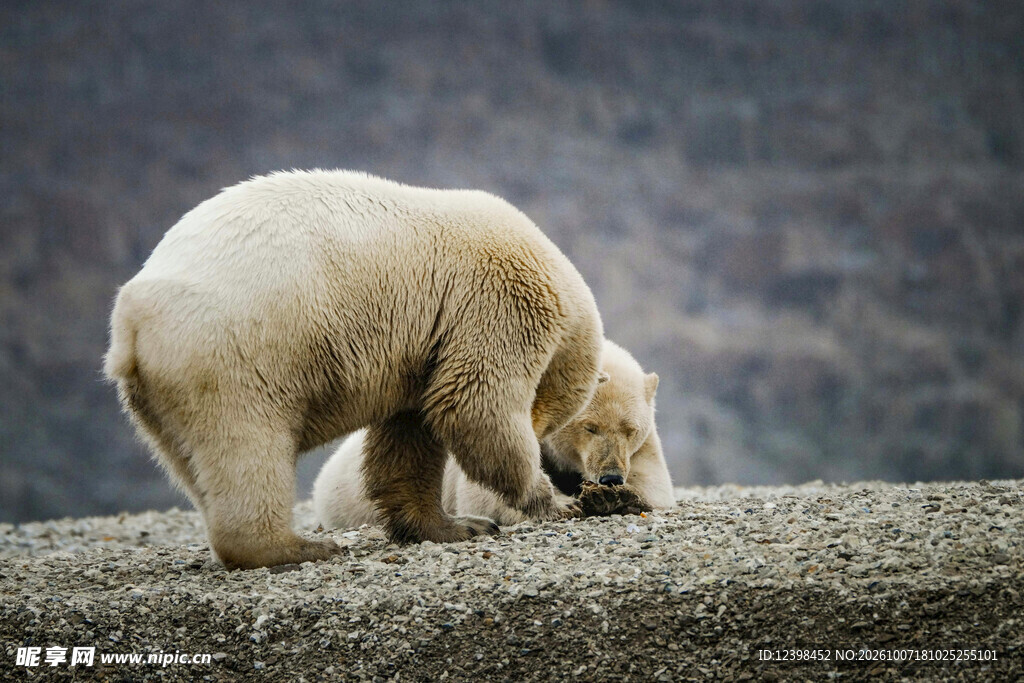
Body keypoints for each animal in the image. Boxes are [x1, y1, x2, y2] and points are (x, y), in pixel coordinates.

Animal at [104, 170, 605, 569]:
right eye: (549, 419)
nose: (539, 441)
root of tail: (132, 319)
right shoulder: (492, 301)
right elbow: (473, 405)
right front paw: (551, 501)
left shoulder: (424, 348)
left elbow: (411, 434)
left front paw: (456, 525)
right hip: (234, 352)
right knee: (247, 446)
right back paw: (298, 547)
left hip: (157, 393)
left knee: (191, 460)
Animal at [313, 339, 674, 530]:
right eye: (589, 426)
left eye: (630, 429)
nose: (611, 477)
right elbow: (486, 491)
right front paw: (567, 503)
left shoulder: (644, 446)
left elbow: (654, 483)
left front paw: (614, 497)